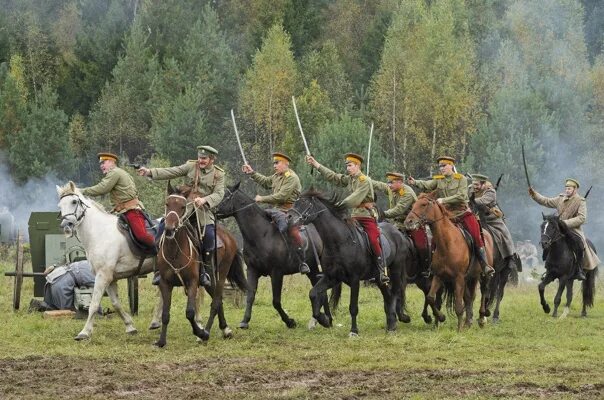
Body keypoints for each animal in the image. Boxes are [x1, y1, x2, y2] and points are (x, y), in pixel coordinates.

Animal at [56, 181, 158, 340]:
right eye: (60, 206)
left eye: (74, 201)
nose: (67, 226)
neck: (99, 232)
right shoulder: (110, 279)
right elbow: (116, 303)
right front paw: (130, 326)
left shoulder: (103, 276)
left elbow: (94, 304)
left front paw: (84, 332)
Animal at [157, 185, 249, 346]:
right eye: (167, 204)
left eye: (182, 207)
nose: (169, 229)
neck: (174, 252)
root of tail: (229, 237)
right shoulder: (165, 283)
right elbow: (165, 313)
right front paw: (161, 341)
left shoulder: (192, 282)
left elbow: (190, 312)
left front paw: (200, 333)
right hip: (209, 282)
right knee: (218, 301)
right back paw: (225, 329)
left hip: (220, 275)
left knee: (216, 301)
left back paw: (207, 332)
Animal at [216, 183, 330, 330]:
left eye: (225, 196)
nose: (212, 209)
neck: (261, 235)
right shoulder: (252, 270)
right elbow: (250, 295)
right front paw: (245, 321)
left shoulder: (276, 273)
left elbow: (276, 301)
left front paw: (290, 321)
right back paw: (325, 319)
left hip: (314, 268)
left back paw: (322, 319)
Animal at [286, 190, 410, 334]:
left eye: (305, 203)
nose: (288, 218)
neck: (339, 242)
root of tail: (398, 233)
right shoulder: (331, 277)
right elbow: (313, 294)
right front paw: (324, 320)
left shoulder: (354, 279)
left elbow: (353, 307)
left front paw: (354, 330)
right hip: (379, 277)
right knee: (388, 296)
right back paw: (391, 324)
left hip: (396, 269)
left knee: (395, 293)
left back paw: (397, 320)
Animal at [404, 192, 494, 330]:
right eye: (414, 204)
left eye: (423, 204)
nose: (408, 222)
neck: (447, 244)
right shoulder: (438, 276)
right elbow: (431, 298)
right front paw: (441, 317)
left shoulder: (458, 278)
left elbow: (458, 306)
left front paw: (459, 329)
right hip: (471, 277)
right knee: (469, 297)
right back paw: (468, 322)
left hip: (483, 275)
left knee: (484, 291)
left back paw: (481, 318)